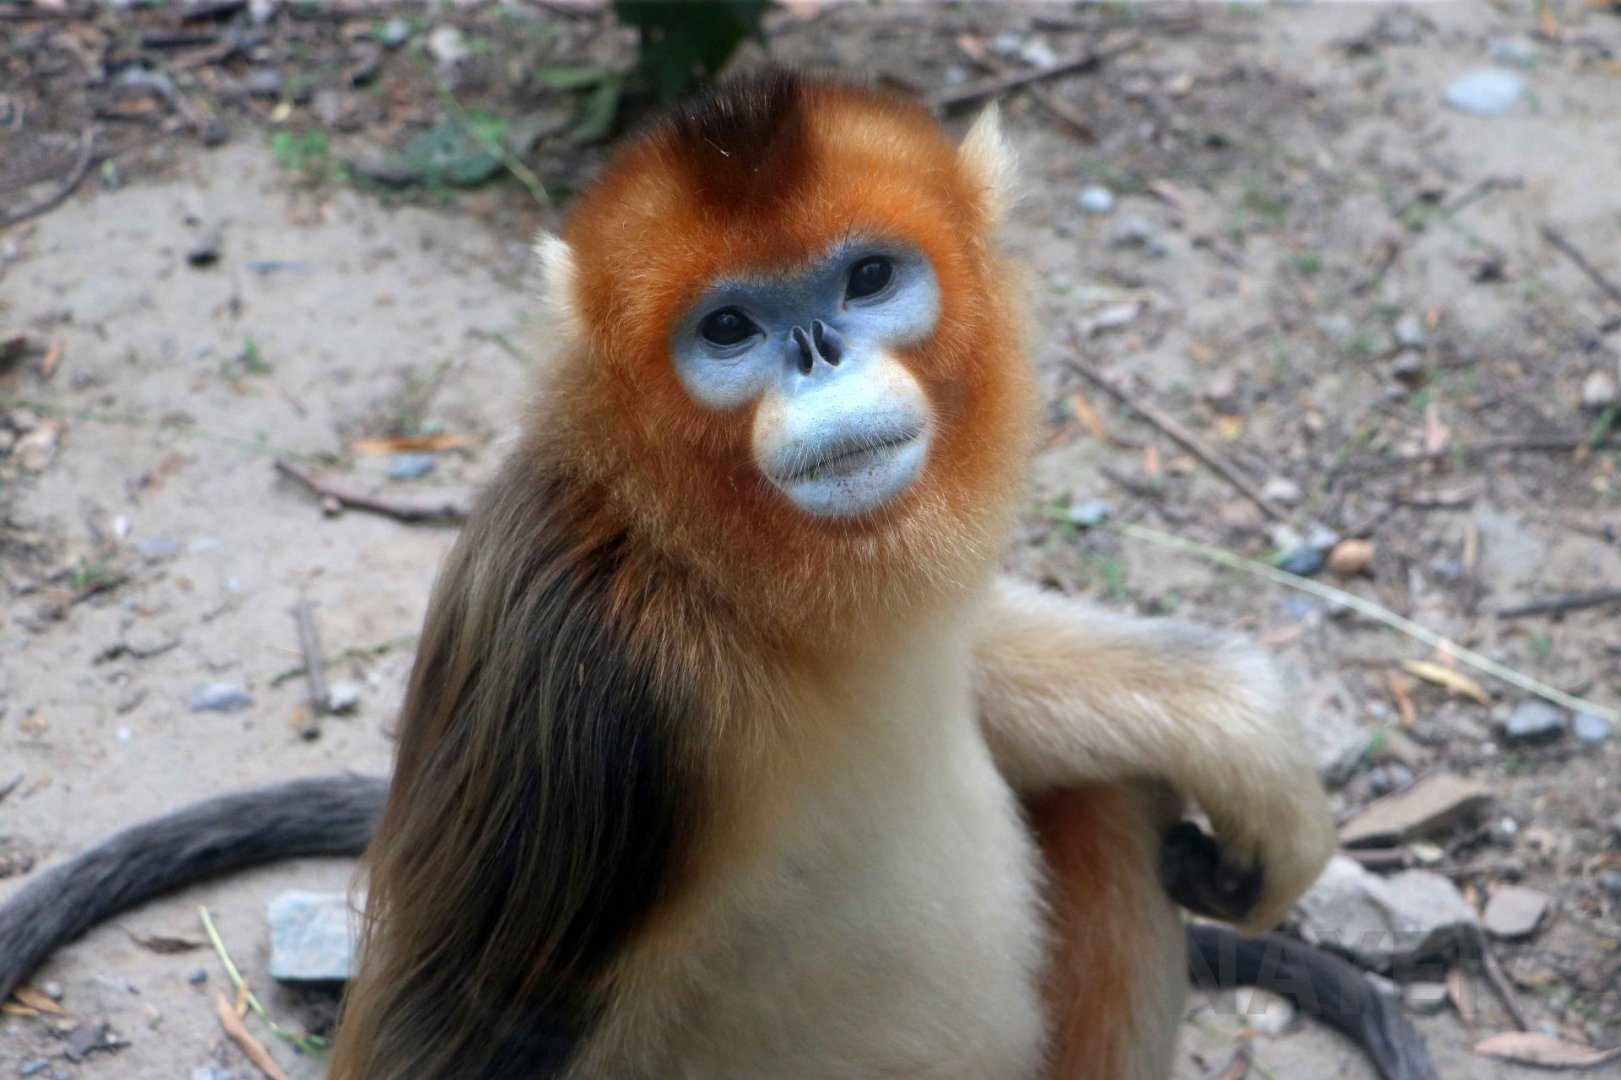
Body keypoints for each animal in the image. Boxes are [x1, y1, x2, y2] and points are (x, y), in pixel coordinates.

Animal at [0, 71, 1435, 1080]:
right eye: (731, 329)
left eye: (868, 277)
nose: (817, 352)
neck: (726, 585)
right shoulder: (593, 679)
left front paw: (1235, 724)